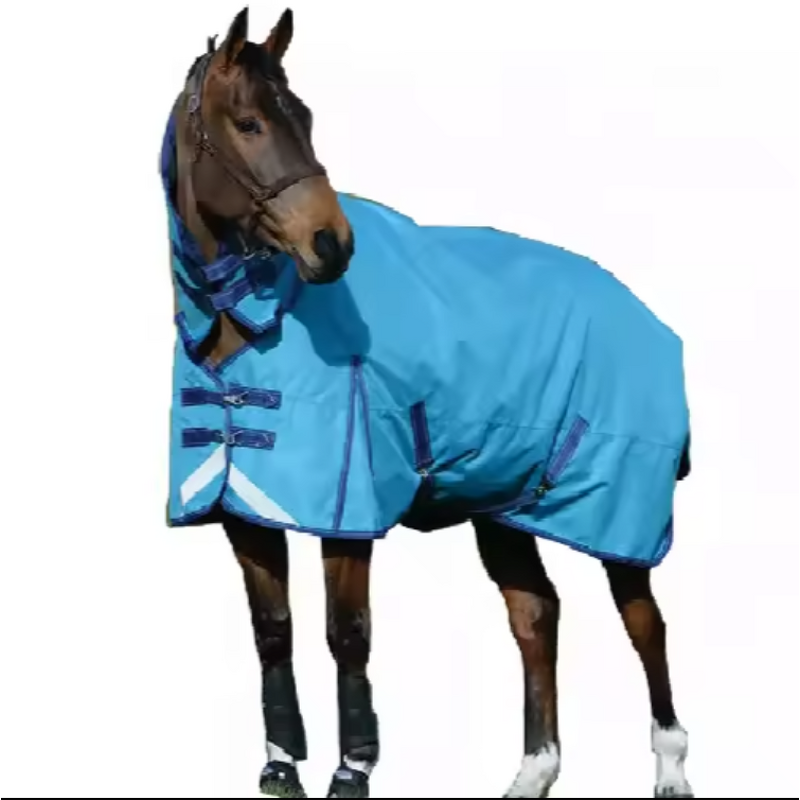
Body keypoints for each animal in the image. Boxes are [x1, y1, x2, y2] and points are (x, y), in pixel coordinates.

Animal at [160, 7, 694, 798]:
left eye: (306, 118)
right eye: (250, 123)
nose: (331, 243)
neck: (254, 318)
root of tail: (647, 315)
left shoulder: (350, 505)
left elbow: (347, 632)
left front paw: (352, 770)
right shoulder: (242, 507)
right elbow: (274, 631)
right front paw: (282, 765)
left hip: (618, 509)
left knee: (644, 623)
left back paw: (671, 768)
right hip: (505, 504)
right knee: (536, 615)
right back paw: (532, 774)